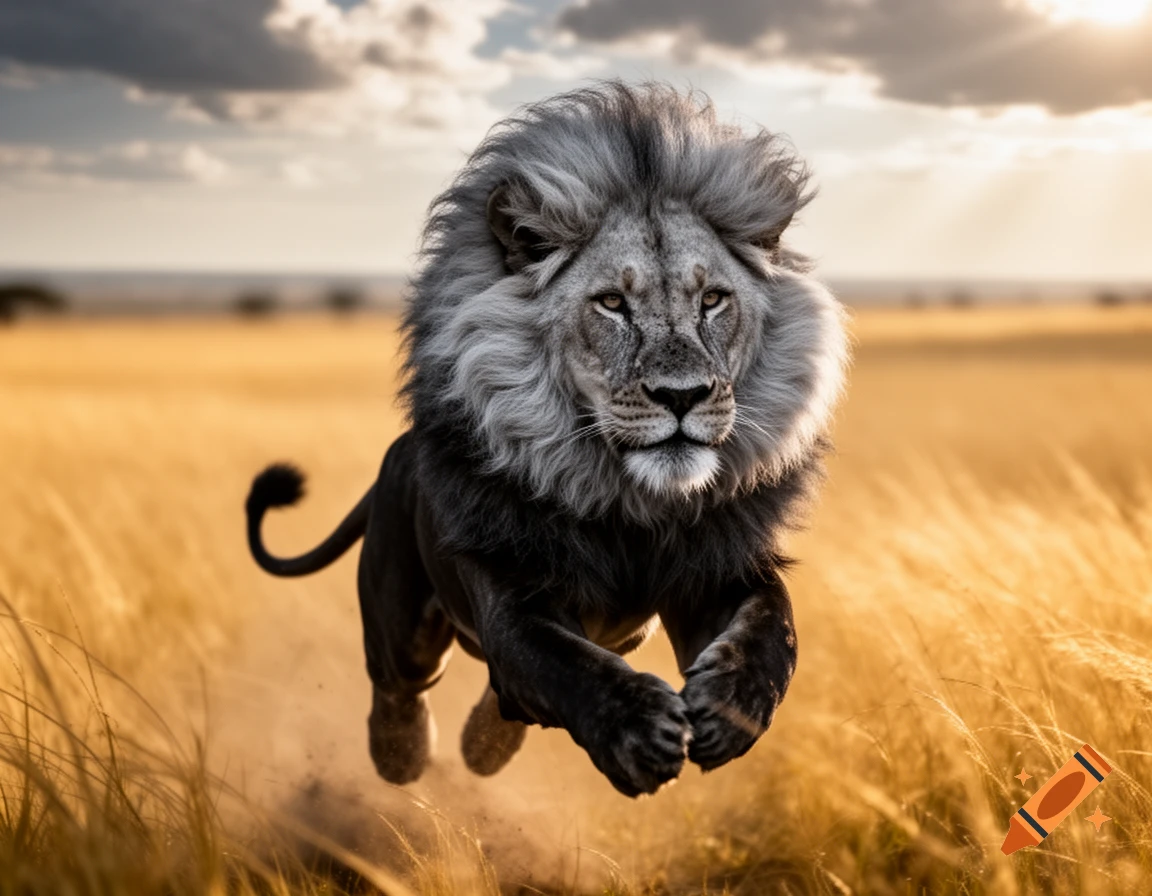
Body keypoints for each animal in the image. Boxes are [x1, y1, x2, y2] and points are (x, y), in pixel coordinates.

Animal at [246, 82, 849, 797]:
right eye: (612, 303)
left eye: (713, 301)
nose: (682, 395)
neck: (630, 506)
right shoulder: (512, 592)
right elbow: (563, 663)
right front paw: (638, 732)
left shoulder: (717, 565)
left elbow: (776, 630)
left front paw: (730, 709)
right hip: (401, 615)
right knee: (403, 682)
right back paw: (404, 754)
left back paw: (482, 749)